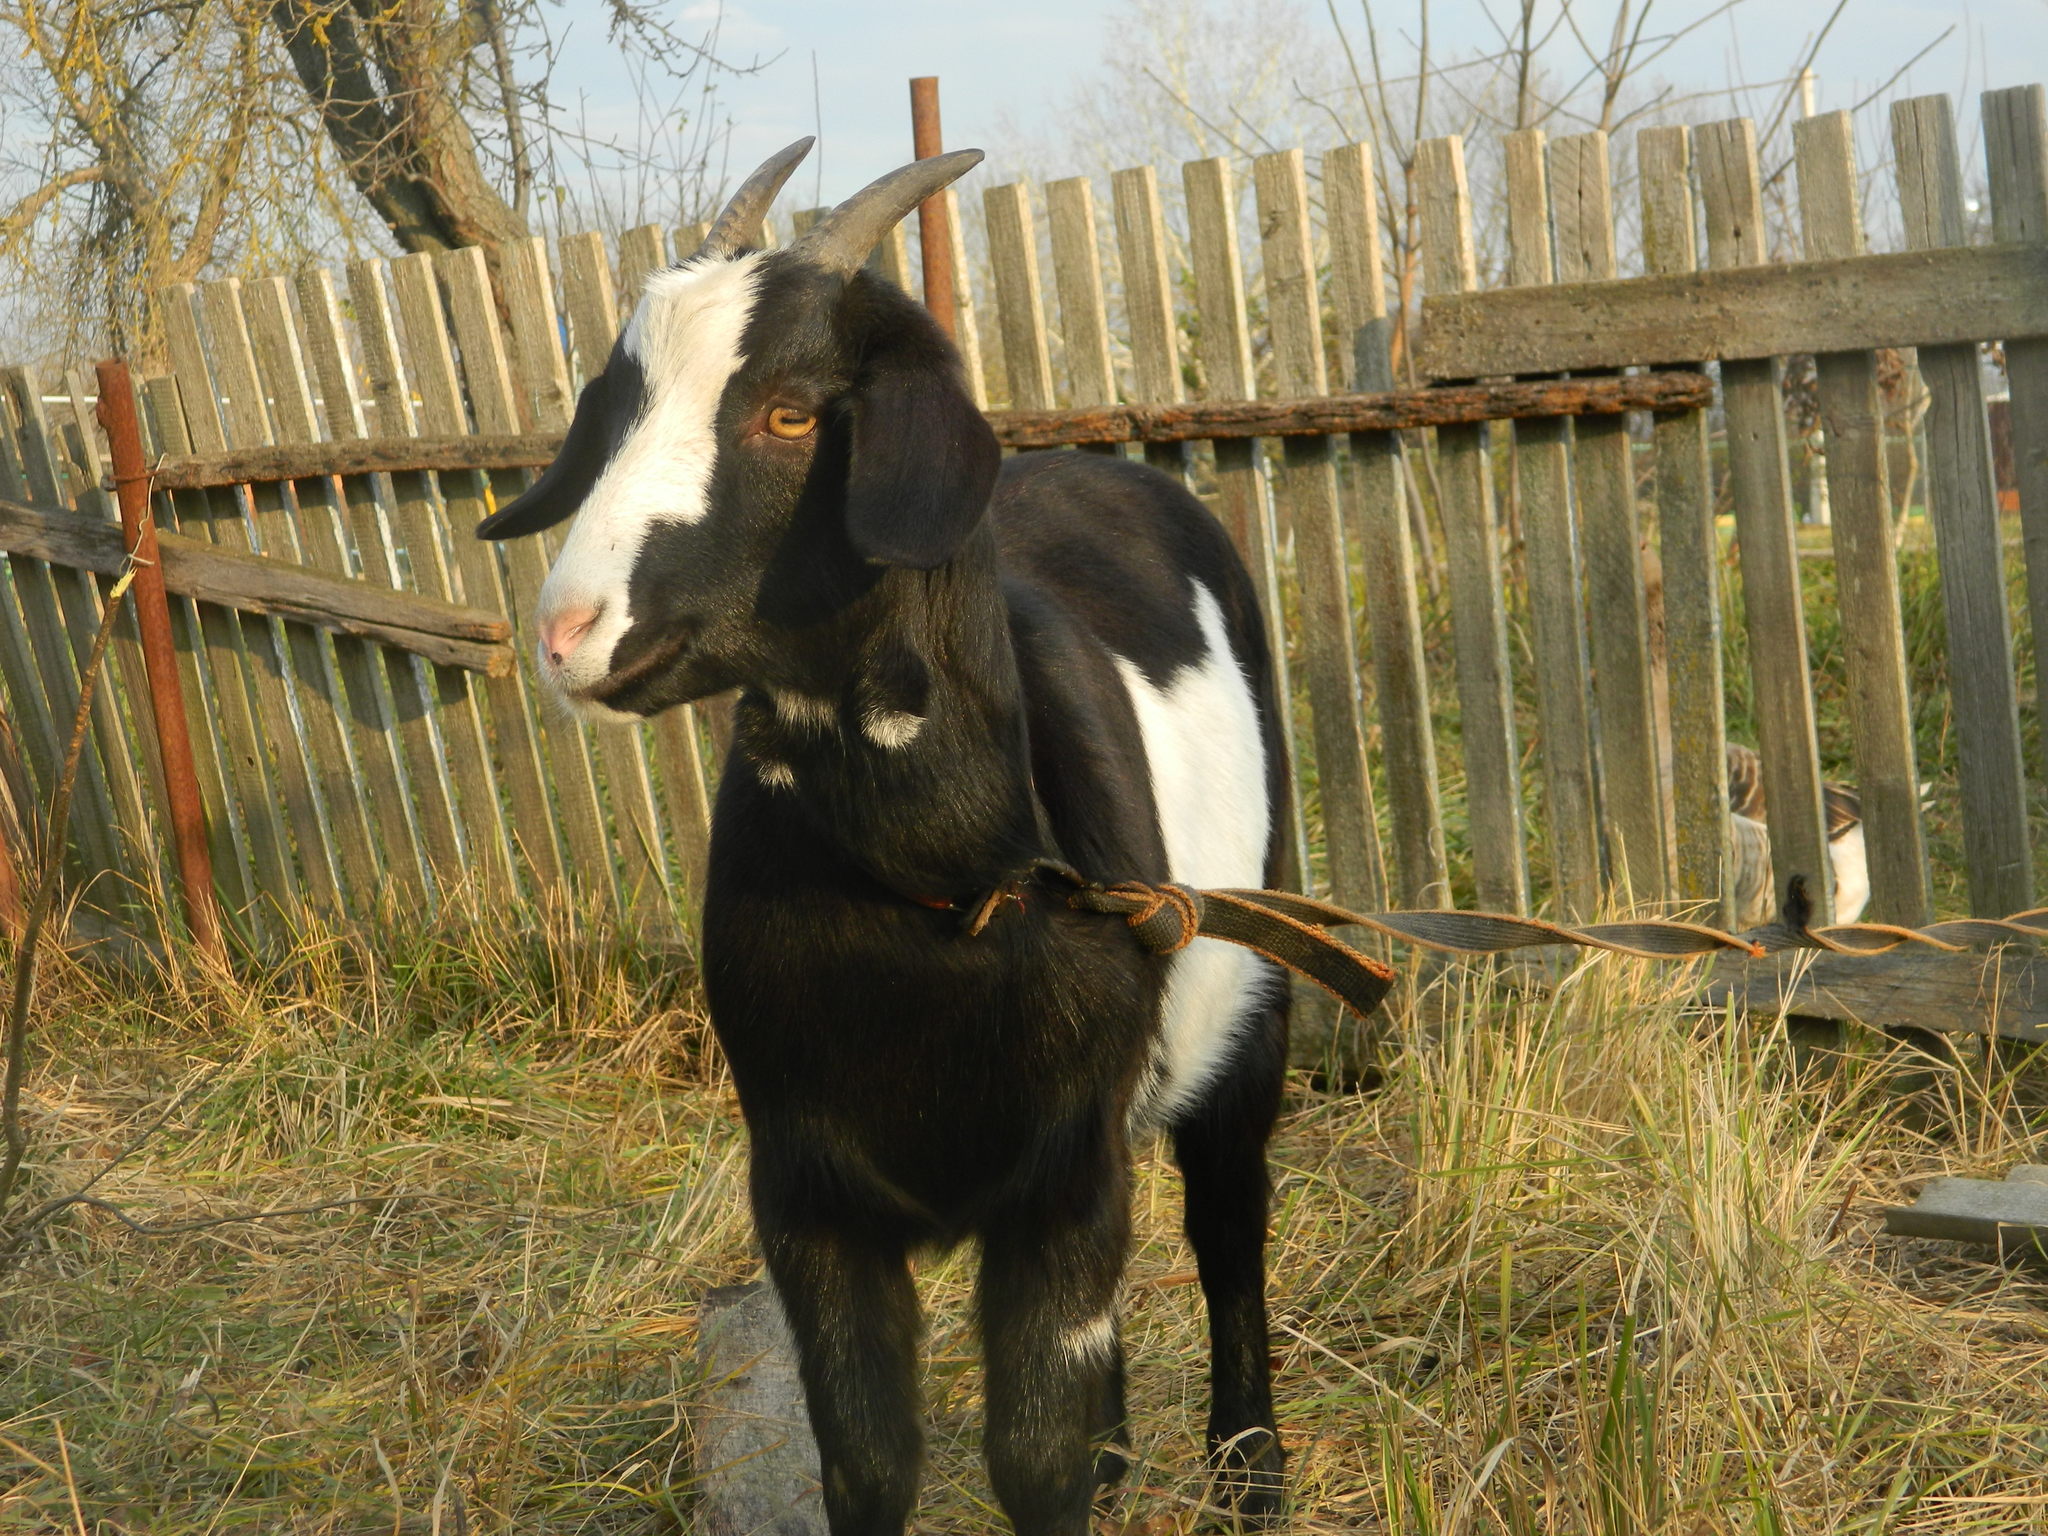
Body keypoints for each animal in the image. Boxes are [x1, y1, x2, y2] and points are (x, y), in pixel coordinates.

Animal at [483, 138, 1294, 1531]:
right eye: (615, 407)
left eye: (793, 413)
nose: (567, 633)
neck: (943, 892)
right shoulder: (807, 1193)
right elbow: (867, 1460)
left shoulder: (1060, 1176)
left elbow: (1034, 1460)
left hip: (1257, 974)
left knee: (1229, 1219)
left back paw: (1248, 1469)